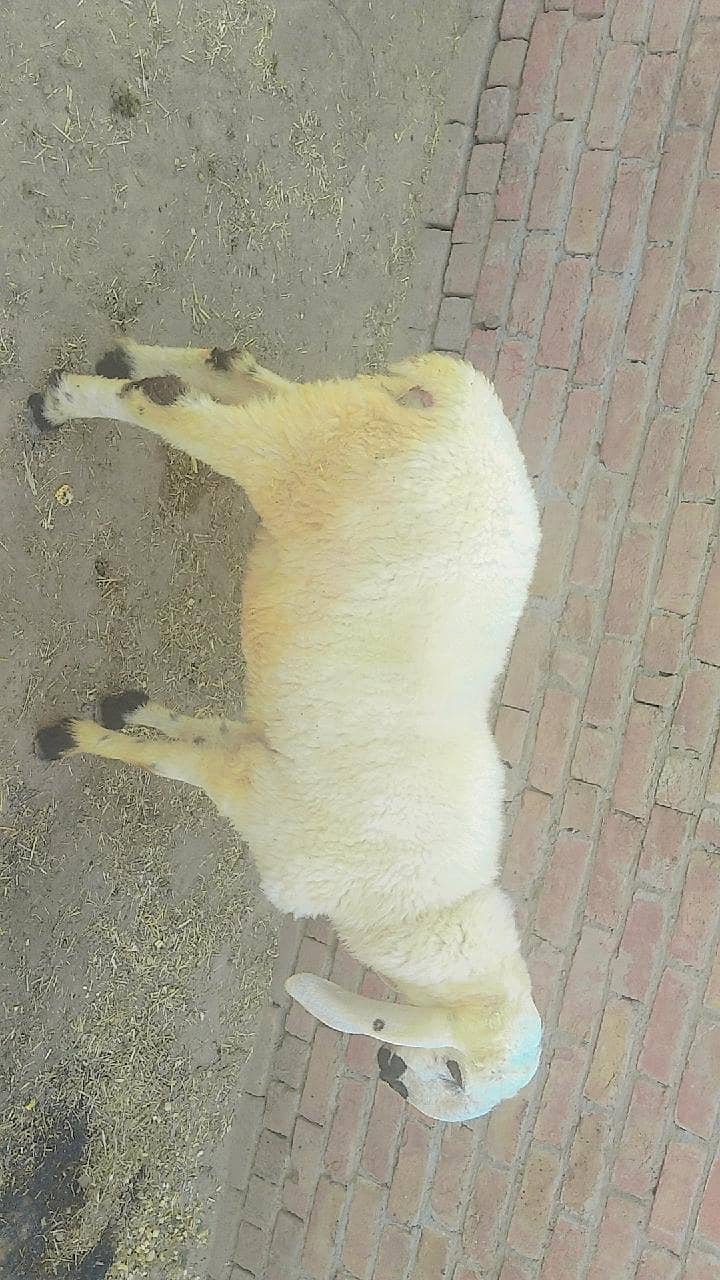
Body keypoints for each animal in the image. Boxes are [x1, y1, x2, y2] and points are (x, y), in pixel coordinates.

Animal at [30, 339, 542, 1123]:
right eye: (457, 1075)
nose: (391, 1074)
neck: (425, 905)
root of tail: (464, 401)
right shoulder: (259, 800)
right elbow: (169, 766)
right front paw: (75, 741)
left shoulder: (261, 758)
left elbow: (196, 734)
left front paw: (128, 715)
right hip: (304, 458)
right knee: (180, 413)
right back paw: (67, 402)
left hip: (336, 419)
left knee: (240, 377)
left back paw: (131, 360)